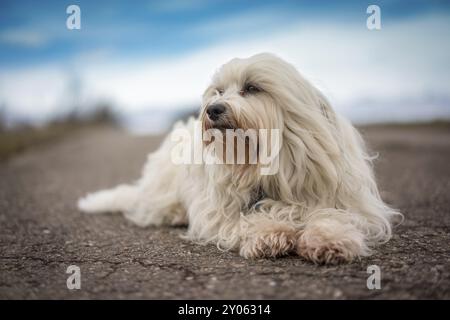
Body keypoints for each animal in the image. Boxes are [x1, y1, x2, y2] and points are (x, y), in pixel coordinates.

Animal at [77, 52, 400, 264]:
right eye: (218, 91)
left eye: (252, 88)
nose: (213, 109)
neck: (267, 163)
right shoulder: (218, 212)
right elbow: (243, 220)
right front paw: (269, 233)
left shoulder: (344, 198)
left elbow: (333, 214)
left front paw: (330, 237)